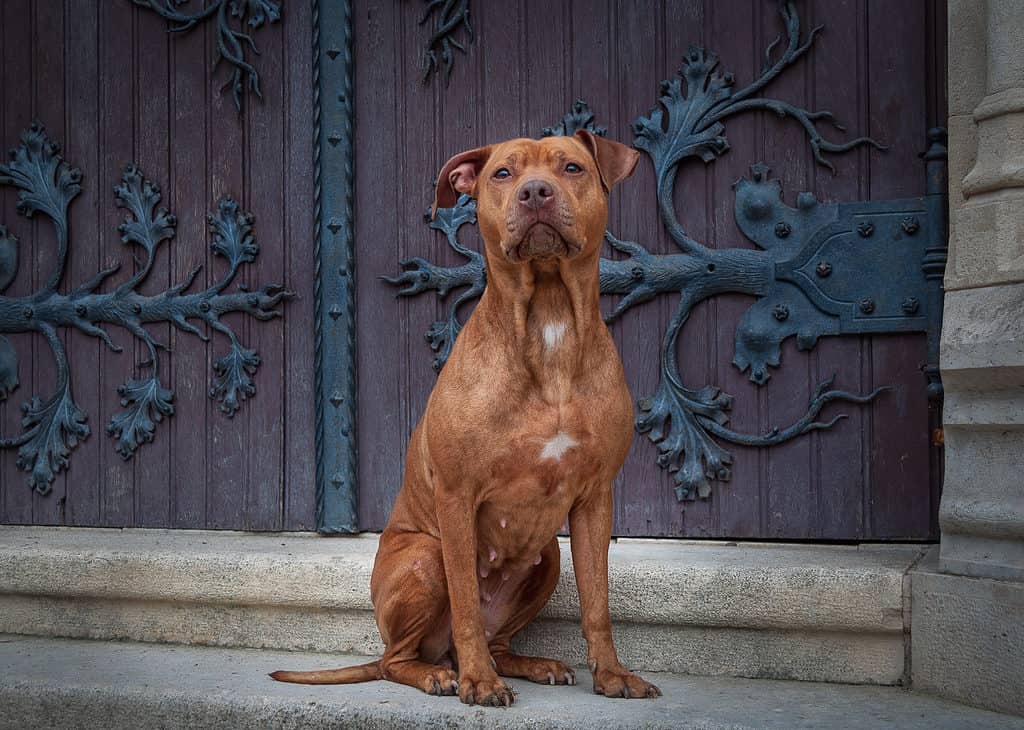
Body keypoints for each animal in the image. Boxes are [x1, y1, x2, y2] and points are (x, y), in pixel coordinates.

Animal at [270, 132, 663, 704]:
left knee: (494, 638)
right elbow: (464, 607)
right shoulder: (457, 497)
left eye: (572, 167)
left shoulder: (594, 499)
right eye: (502, 173)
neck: (549, 319)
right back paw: (442, 673)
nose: (536, 192)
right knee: (396, 659)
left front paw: (611, 675)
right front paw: (478, 682)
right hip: (426, 556)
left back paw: (529, 663)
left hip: (548, 557)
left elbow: (598, 602)